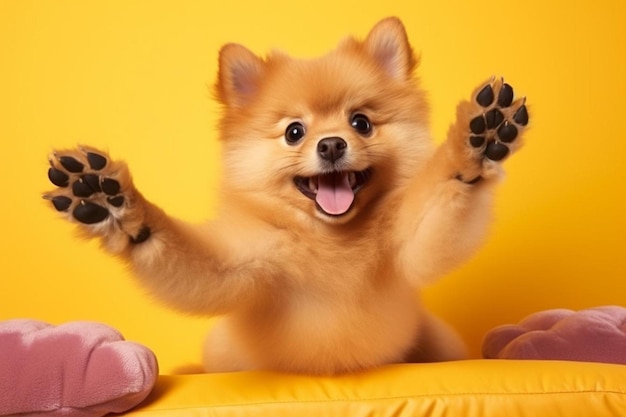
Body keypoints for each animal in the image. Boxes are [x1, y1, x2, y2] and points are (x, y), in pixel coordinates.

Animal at [45, 17, 528, 374]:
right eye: (294, 132)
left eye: (361, 123)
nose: (331, 144)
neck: (331, 238)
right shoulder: (237, 264)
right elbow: (188, 259)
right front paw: (117, 205)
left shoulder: (410, 246)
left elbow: (441, 208)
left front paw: (475, 143)